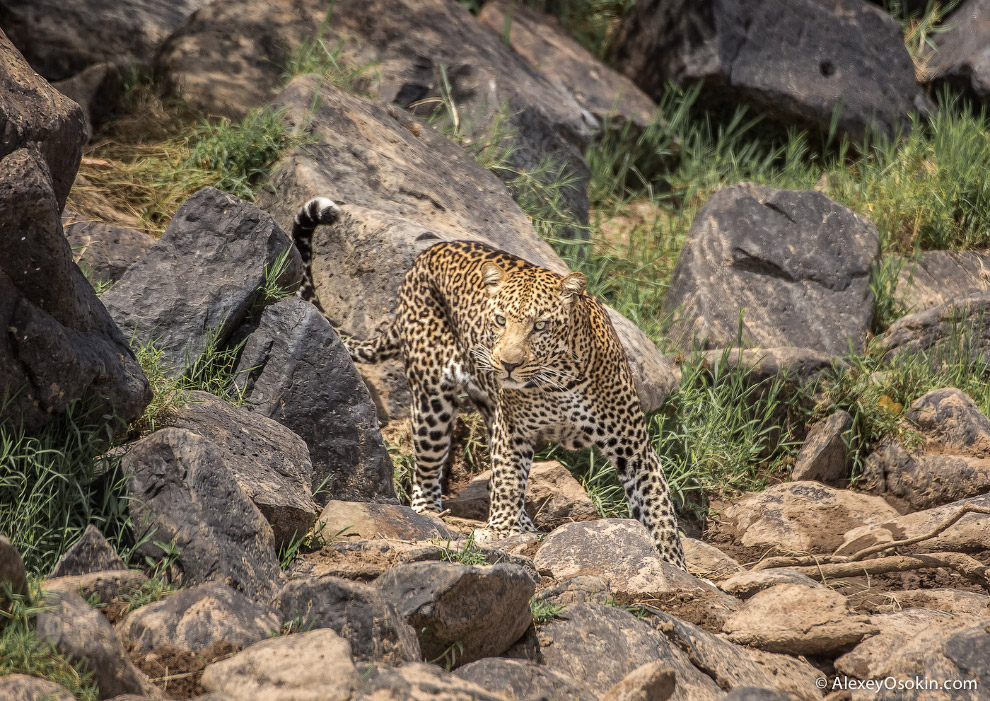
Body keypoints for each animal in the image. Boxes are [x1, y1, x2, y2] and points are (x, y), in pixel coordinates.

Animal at [290, 196, 684, 568]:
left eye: (540, 325)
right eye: (499, 320)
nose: (508, 364)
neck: (557, 383)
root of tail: (425, 255)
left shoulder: (634, 448)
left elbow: (659, 509)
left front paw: (673, 564)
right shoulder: (513, 433)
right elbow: (507, 483)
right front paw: (498, 531)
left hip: (488, 408)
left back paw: (525, 526)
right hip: (432, 400)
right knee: (428, 469)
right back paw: (430, 514)